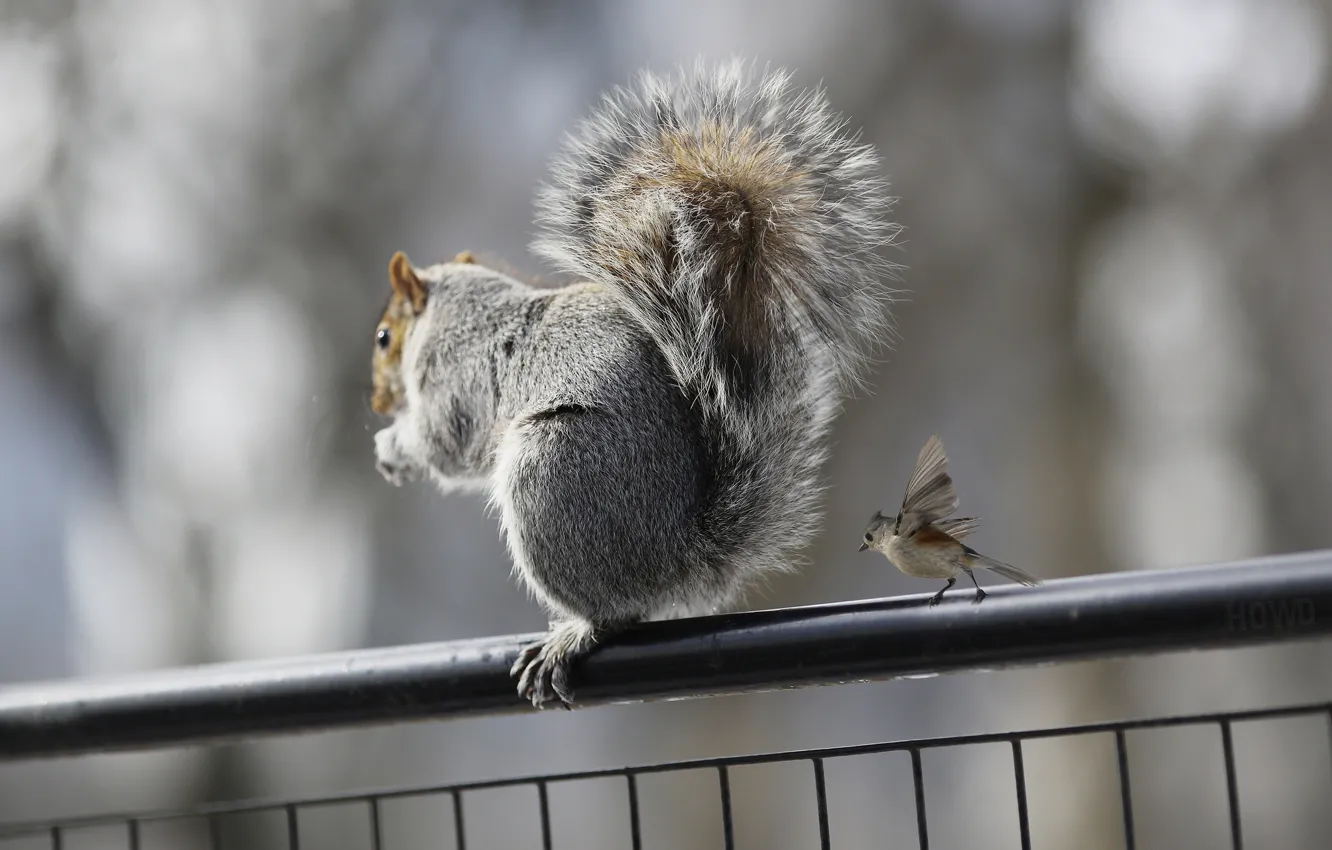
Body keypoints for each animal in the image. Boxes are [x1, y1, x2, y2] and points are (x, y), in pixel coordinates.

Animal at [370, 61, 900, 714]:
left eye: (384, 338)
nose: (376, 399)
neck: (462, 308)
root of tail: (681, 558)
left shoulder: (453, 377)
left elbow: (446, 445)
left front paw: (394, 445)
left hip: (551, 474)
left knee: (617, 612)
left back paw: (572, 637)